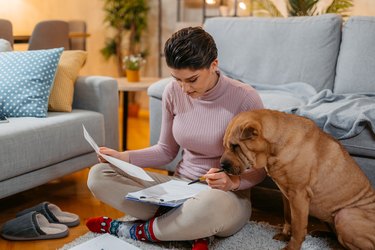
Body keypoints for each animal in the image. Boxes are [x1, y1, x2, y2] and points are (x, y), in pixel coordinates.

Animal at [220, 109, 375, 250]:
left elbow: (298, 226)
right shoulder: (286, 195)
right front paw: (284, 235)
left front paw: (291, 247)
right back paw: (321, 233)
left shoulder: (299, 195)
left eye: (235, 146)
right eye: (225, 145)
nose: (222, 165)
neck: (274, 148)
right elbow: (288, 217)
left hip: (344, 216)